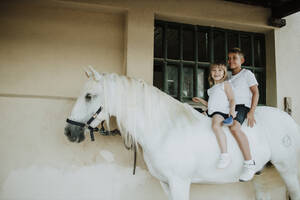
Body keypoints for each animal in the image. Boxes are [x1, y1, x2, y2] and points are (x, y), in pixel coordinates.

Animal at [64, 67, 300, 200]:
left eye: (88, 96)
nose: (68, 131)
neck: (165, 129)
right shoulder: (166, 184)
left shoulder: (180, 182)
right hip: (261, 178)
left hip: (290, 173)